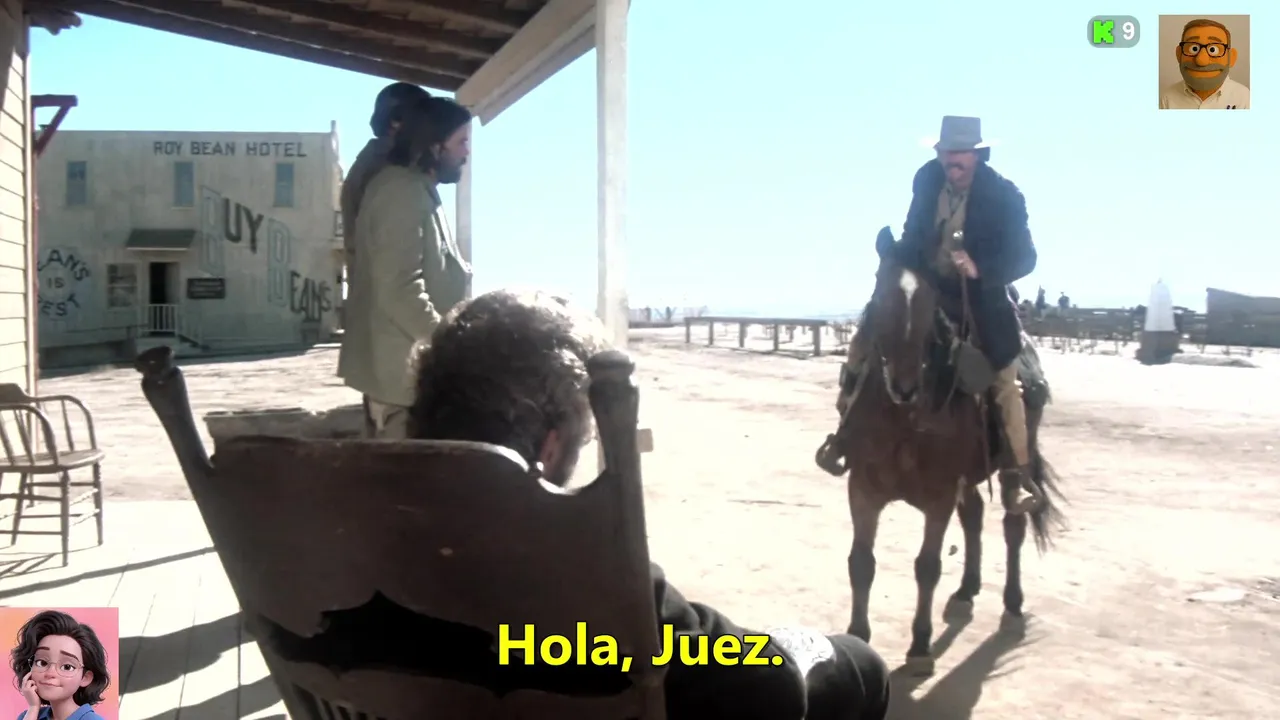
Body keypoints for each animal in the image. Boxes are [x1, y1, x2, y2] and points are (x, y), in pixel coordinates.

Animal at [815, 226, 1064, 676]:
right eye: (879, 289)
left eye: (932, 298)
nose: (904, 385)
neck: (903, 418)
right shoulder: (863, 490)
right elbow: (861, 562)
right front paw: (858, 637)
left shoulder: (938, 499)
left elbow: (926, 567)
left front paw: (919, 647)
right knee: (974, 517)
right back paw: (966, 591)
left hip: (1010, 468)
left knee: (1013, 526)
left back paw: (1012, 607)